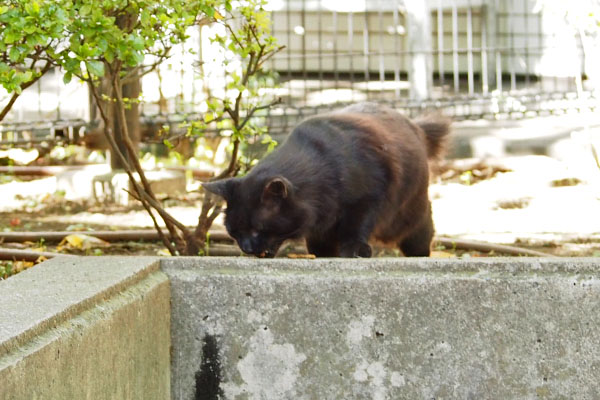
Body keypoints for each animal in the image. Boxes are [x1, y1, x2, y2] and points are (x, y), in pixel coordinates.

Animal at [204, 103, 448, 258]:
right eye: (234, 231)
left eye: (257, 229)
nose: (246, 247)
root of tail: (415, 125)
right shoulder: (319, 225)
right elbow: (318, 244)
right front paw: (324, 254)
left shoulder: (368, 199)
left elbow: (355, 226)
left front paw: (355, 250)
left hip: (406, 218)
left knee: (423, 229)